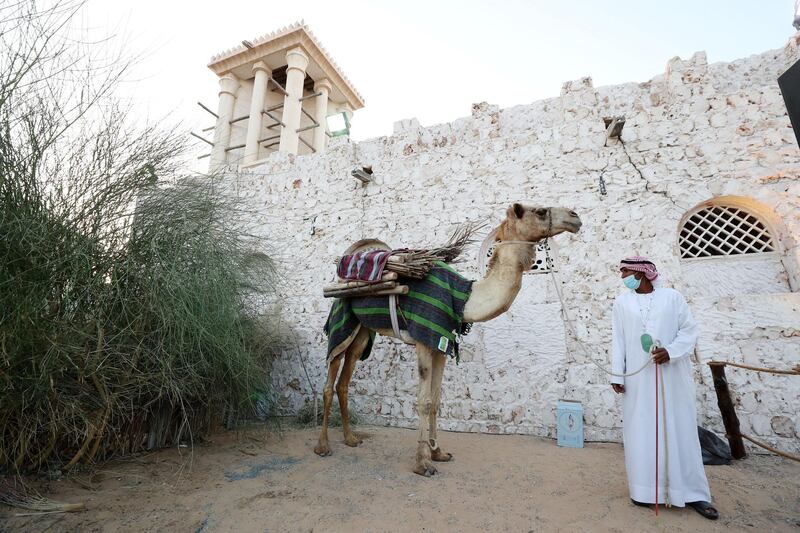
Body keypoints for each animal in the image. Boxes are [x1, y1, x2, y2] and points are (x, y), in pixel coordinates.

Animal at [312, 203, 580, 474]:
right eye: (540, 211)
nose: (575, 217)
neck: (463, 298)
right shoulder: (424, 338)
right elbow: (424, 400)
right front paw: (422, 463)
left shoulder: (441, 343)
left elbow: (436, 399)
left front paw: (438, 452)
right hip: (341, 321)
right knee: (329, 380)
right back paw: (323, 446)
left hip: (363, 332)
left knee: (344, 381)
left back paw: (351, 439)